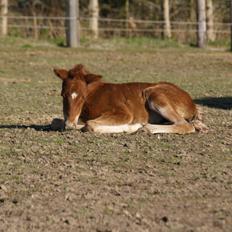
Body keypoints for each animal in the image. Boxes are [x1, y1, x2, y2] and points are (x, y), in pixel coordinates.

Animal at [53, 64, 207, 134]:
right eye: (62, 94)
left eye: (83, 96)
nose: (70, 123)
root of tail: (192, 103)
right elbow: (56, 122)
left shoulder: (123, 113)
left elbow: (90, 124)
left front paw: (130, 127)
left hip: (154, 94)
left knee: (185, 125)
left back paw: (144, 128)